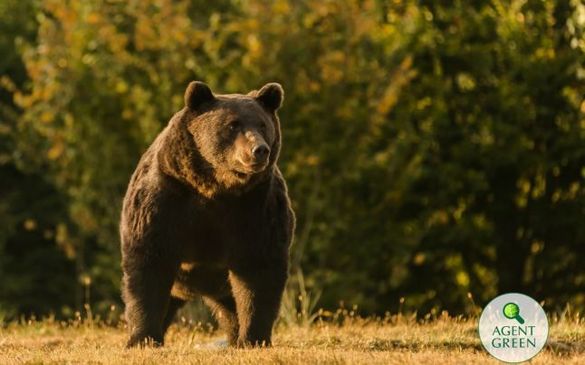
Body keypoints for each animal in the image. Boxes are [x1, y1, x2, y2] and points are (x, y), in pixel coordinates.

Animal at [118, 80, 294, 346]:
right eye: (232, 124)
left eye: (263, 124)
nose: (259, 150)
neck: (215, 186)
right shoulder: (165, 199)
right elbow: (148, 263)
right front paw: (142, 338)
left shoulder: (256, 207)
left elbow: (259, 270)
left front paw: (253, 338)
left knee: (231, 307)